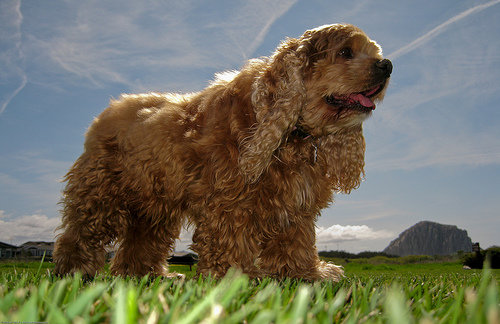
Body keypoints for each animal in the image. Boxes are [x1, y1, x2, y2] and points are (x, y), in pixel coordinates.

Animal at [53, 23, 390, 280]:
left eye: (374, 52)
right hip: (101, 195)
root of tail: (108, 110)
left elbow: (297, 244)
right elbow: (231, 245)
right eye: (345, 52)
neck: (292, 134)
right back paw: (73, 273)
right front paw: (237, 280)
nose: (387, 65)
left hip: (154, 207)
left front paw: (307, 276)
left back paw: (148, 276)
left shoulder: (295, 208)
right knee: (79, 234)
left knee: (142, 242)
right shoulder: (229, 202)